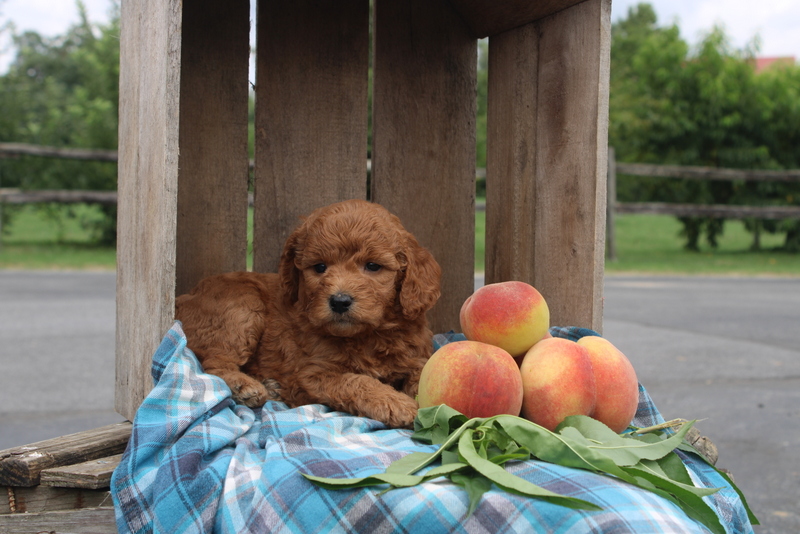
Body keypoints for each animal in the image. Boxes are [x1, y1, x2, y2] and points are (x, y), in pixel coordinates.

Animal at [173, 201, 444, 432]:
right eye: (320, 267)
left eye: (373, 266)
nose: (340, 301)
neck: (367, 335)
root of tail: (182, 298)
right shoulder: (311, 374)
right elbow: (356, 381)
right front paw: (396, 403)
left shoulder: (416, 357)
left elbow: (422, 376)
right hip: (241, 309)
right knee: (213, 364)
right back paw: (245, 387)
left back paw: (269, 387)